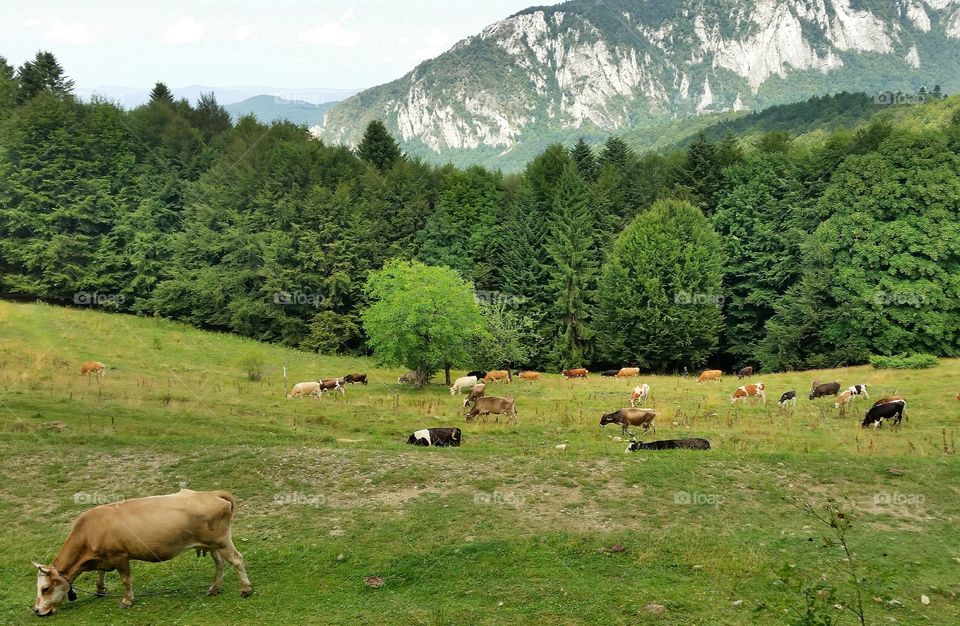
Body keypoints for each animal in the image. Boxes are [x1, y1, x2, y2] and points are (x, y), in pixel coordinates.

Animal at [31, 489, 252, 616]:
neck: (90, 531)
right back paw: (214, 589)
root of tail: (211, 493)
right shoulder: (103, 557)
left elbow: (125, 580)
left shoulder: (120, 556)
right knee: (220, 564)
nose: (36, 610)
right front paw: (100, 590)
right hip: (211, 545)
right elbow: (101, 573)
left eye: (45, 589)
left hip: (221, 541)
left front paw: (127, 601)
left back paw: (246, 589)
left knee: (237, 560)